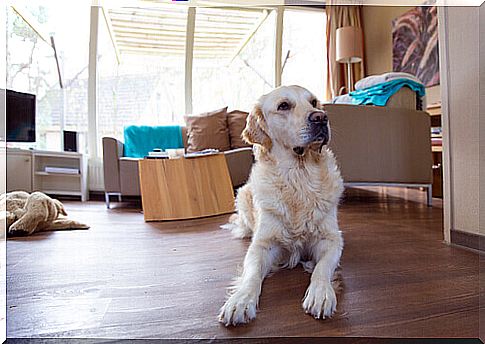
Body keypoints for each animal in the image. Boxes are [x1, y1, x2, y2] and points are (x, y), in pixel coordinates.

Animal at [217, 85, 342, 326]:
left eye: (313, 102)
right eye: (283, 106)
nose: (321, 118)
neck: (298, 178)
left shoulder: (331, 239)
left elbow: (322, 268)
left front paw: (321, 294)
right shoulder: (263, 244)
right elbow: (251, 274)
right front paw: (240, 301)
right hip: (243, 194)